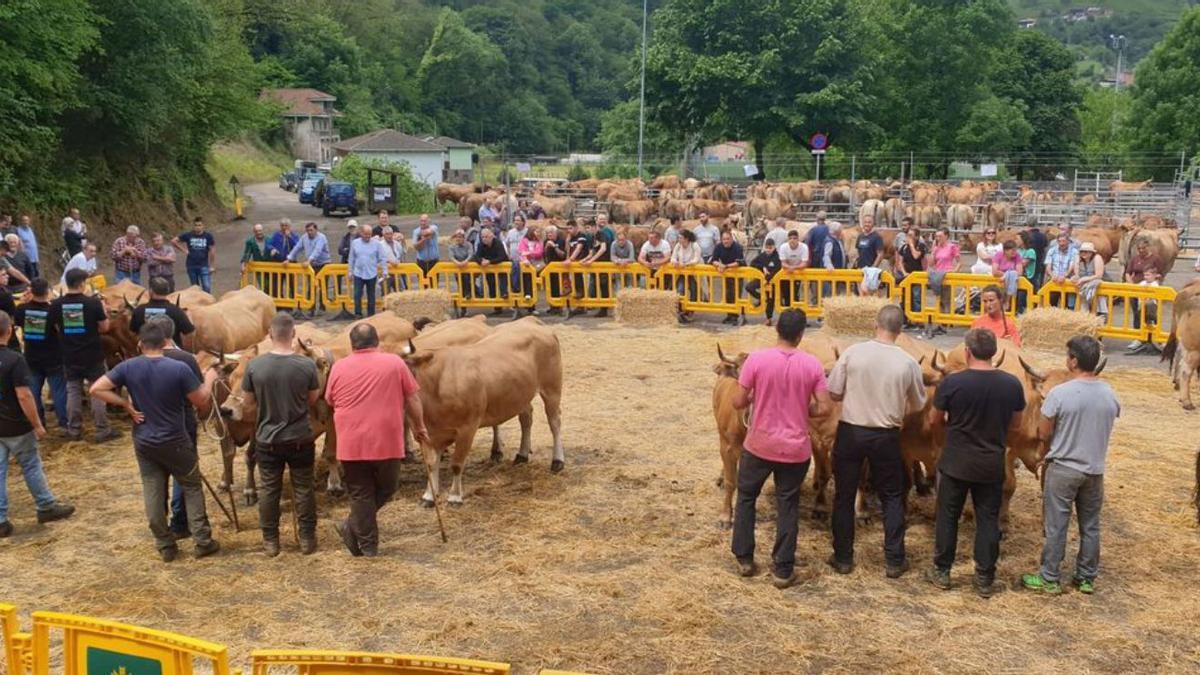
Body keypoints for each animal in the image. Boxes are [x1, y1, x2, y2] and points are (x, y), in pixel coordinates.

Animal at [403, 317, 561, 502]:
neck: (438, 385)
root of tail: (529, 321)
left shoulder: (467, 429)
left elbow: (456, 464)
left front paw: (455, 496)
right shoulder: (427, 434)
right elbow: (431, 464)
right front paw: (429, 495)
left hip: (552, 389)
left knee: (555, 423)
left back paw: (557, 461)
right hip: (521, 395)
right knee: (526, 418)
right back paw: (522, 455)